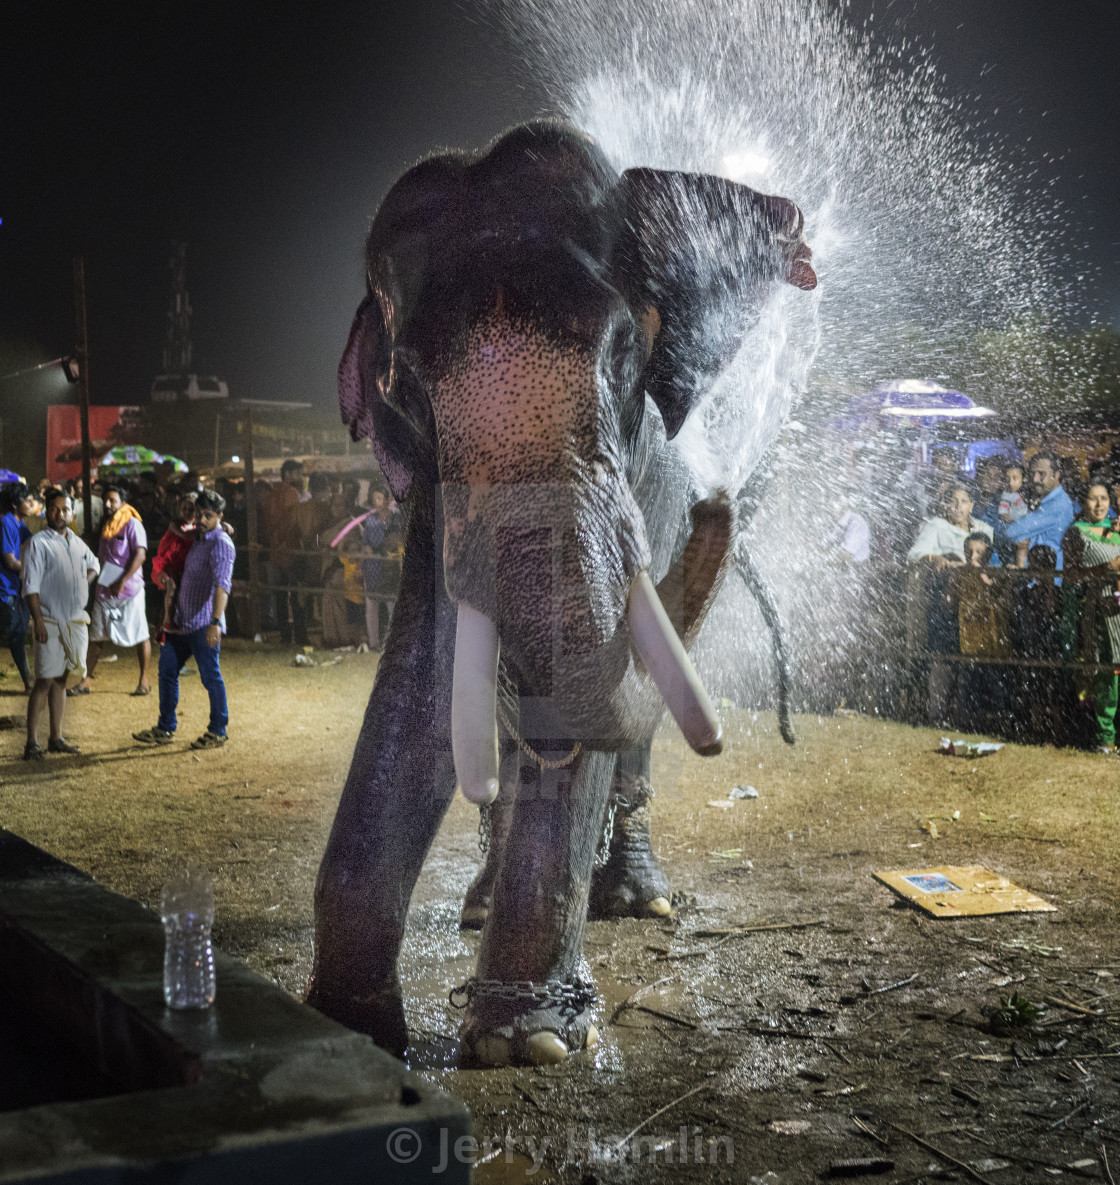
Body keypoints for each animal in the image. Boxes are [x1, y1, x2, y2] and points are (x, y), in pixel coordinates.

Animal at [305, 117, 810, 1066]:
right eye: (408, 389)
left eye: (621, 352)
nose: (716, 504)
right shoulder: (434, 499)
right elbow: (423, 685)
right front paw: (347, 1027)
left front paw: (524, 1044)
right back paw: (476, 903)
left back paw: (637, 900)